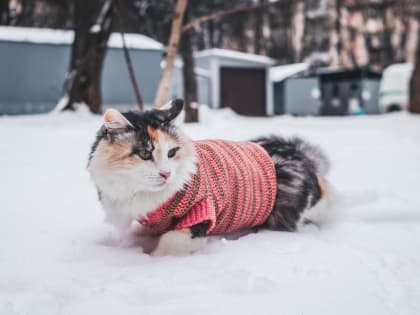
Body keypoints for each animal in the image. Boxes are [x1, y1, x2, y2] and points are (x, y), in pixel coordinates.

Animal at [88, 100, 332, 258]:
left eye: (172, 152)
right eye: (144, 153)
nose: (167, 174)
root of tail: (301, 155)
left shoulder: (201, 211)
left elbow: (169, 243)